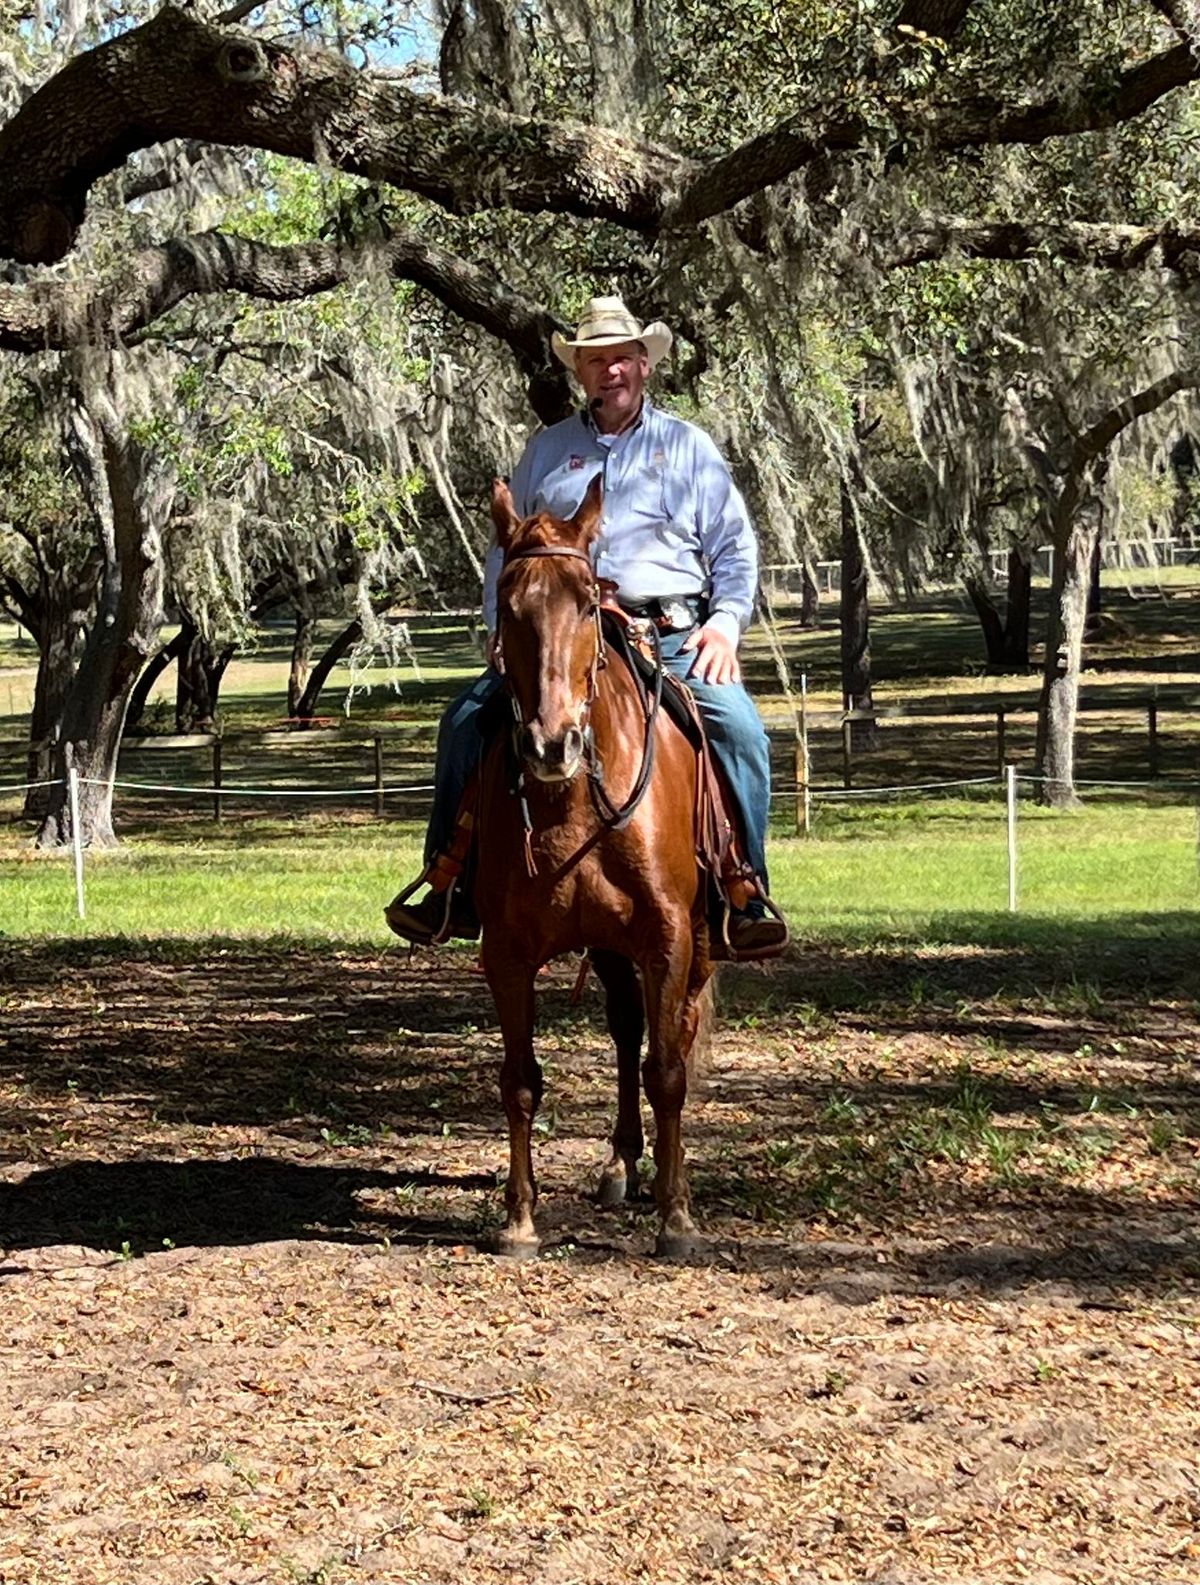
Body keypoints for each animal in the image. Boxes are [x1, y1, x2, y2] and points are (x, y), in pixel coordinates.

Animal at [478, 469, 710, 1248]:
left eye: (586, 604)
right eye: (509, 605)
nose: (553, 744)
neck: (575, 804)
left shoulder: (669, 936)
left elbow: (666, 1071)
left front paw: (676, 1213)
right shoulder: (507, 951)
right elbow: (520, 1079)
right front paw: (520, 1218)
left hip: (700, 942)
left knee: (673, 1038)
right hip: (608, 947)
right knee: (625, 1028)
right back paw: (619, 1165)